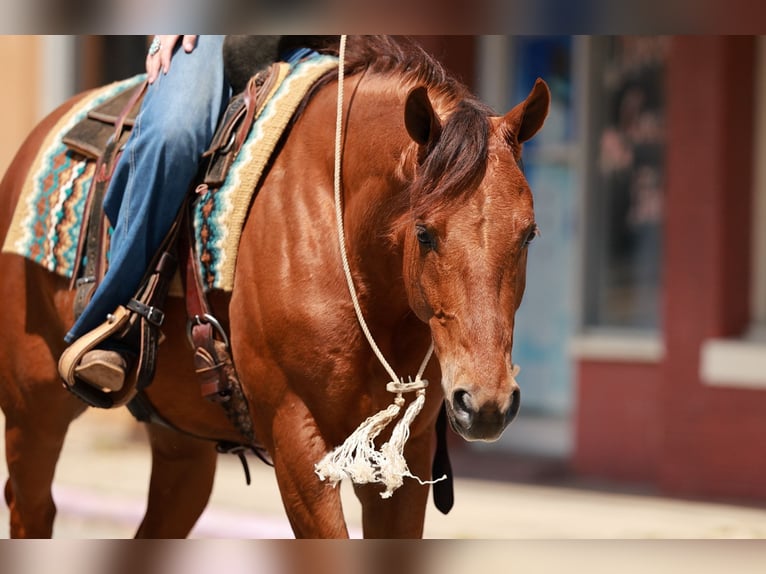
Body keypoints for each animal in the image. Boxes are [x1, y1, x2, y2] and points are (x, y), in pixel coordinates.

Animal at [0, 36, 549, 538]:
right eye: (424, 232)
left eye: (528, 235)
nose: (486, 404)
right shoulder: (296, 440)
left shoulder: (405, 453)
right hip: (34, 412)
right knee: (34, 508)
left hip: (182, 443)